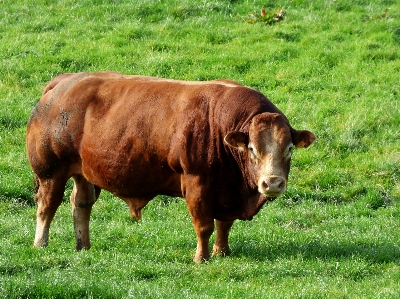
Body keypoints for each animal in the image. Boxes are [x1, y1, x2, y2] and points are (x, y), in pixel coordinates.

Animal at [25, 72, 316, 262]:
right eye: (253, 149)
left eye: (289, 149)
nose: (272, 183)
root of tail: (64, 81)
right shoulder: (197, 184)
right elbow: (204, 226)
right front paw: (202, 258)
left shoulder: (227, 192)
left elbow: (224, 225)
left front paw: (222, 252)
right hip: (50, 171)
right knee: (47, 207)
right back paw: (40, 244)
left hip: (83, 172)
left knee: (81, 204)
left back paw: (83, 246)